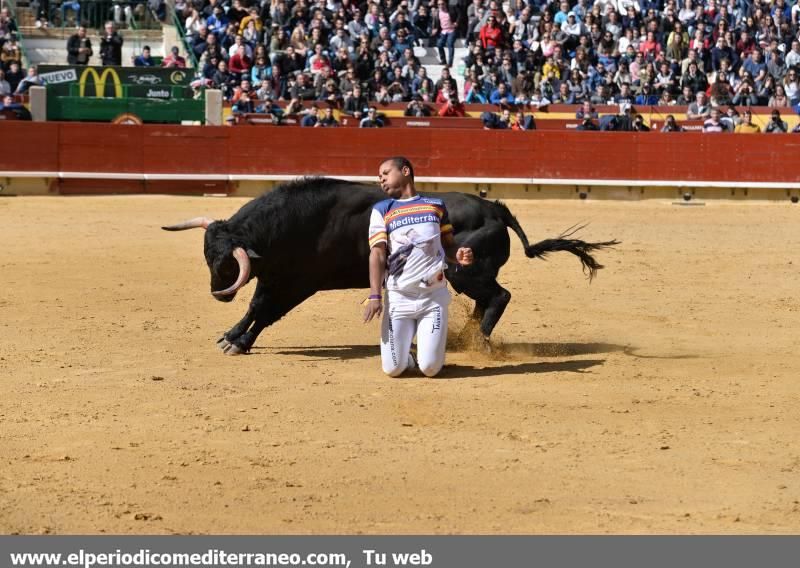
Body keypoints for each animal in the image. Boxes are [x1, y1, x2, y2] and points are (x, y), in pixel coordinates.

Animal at [162, 178, 620, 356]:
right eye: (207, 257)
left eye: (225, 263)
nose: (215, 292)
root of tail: (495, 208)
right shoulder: (276, 277)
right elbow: (257, 307)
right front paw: (233, 336)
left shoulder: (298, 282)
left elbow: (264, 309)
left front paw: (237, 342)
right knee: (489, 300)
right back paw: (466, 338)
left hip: (466, 272)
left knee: (500, 296)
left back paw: (478, 342)